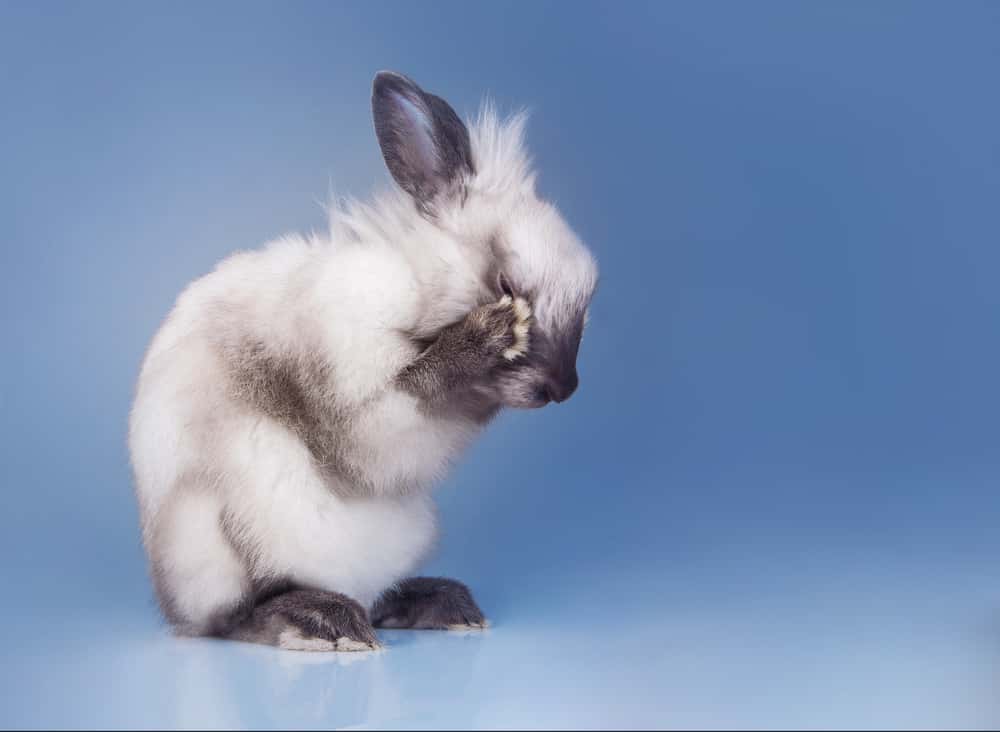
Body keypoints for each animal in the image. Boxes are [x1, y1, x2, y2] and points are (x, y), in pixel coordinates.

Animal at [128, 70, 599, 651]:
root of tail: (173, 607)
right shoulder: (361, 404)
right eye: (508, 286)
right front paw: (489, 335)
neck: (418, 290)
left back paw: (439, 605)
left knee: (372, 596)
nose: (565, 387)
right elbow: (405, 402)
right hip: (240, 523)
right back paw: (326, 622)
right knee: (235, 615)